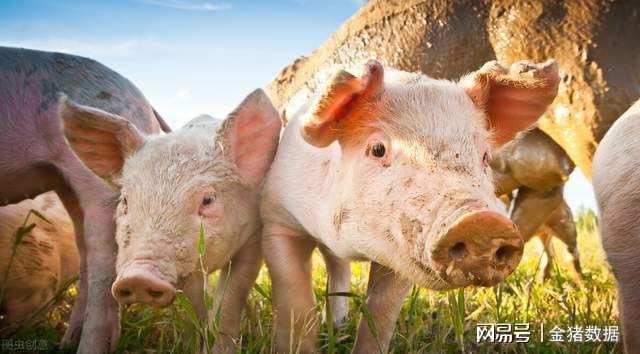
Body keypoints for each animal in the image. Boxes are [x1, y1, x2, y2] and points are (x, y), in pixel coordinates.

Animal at [59, 89, 282, 352]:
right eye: (125, 200)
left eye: (208, 199)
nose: (138, 277)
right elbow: (194, 304)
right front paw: (193, 342)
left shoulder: (253, 240)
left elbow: (230, 297)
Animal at [260, 58, 560, 352]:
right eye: (377, 149)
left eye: (485, 156)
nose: (482, 223)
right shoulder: (277, 218)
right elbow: (298, 305)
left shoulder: (402, 252)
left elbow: (381, 313)